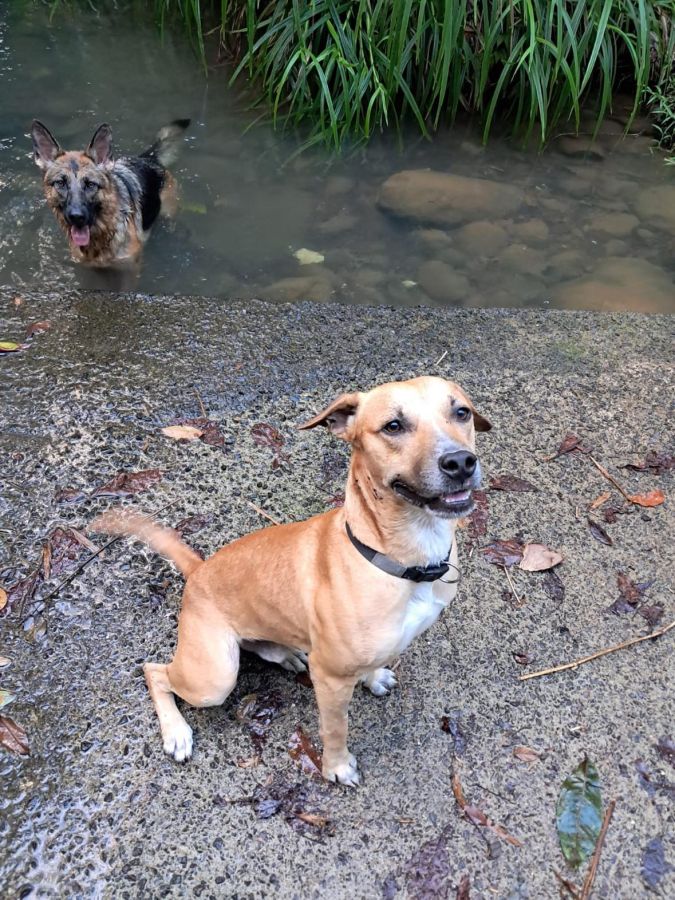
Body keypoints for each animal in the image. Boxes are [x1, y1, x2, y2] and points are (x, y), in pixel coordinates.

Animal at [30, 118, 190, 266]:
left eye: (90, 184)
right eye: (61, 183)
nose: (76, 217)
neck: (103, 233)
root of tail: (147, 157)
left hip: (168, 213)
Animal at [93, 376, 491, 785]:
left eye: (461, 412)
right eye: (393, 426)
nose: (460, 461)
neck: (404, 561)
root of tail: (199, 569)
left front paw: (373, 676)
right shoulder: (330, 678)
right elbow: (335, 729)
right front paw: (337, 767)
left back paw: (285, 654)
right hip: (214, 677)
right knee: (155, 671)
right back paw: (176, 732)